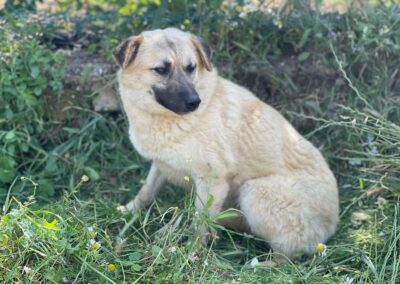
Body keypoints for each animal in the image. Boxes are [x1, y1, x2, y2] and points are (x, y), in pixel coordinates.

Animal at [114, 27, 340, 262]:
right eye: (160, 69)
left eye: (191, 68)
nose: (194, 102)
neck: (170, 120)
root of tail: (330, 228)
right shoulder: (160, 165)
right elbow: (146, 191)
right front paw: (128, 211)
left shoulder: (212, 181)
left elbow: (200, 223)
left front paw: (193, 254)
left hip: (255, 191)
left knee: (287, 258)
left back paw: (258, 264)